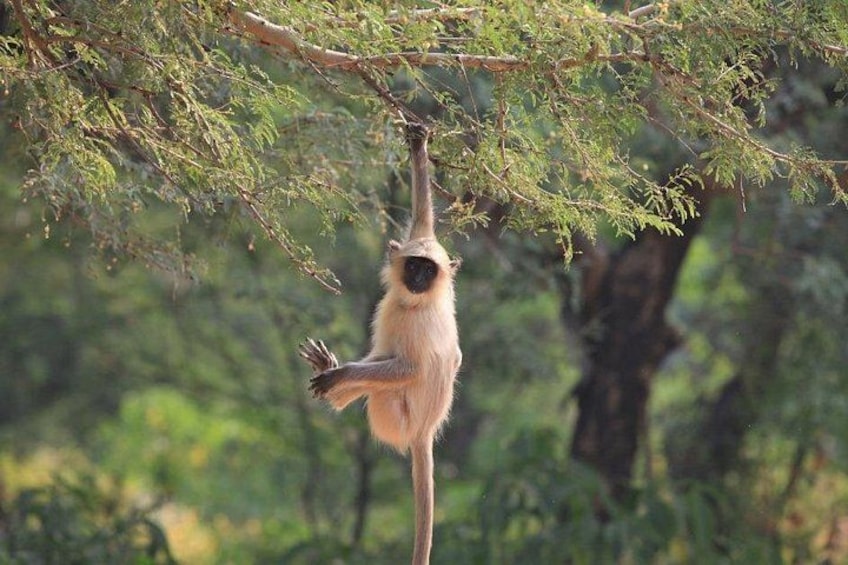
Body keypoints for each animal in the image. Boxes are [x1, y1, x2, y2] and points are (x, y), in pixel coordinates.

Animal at [299, 123, 461, 565]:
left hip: (394, 416)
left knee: (383, 381)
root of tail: (425, 432)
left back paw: (336, 383)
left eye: (428, 271)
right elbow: (423, 221)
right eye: (415, 265)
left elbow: (412, 368)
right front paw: (419, 148)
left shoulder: (420, 323)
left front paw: (340, 376)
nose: (419, 278)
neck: (413, 301)